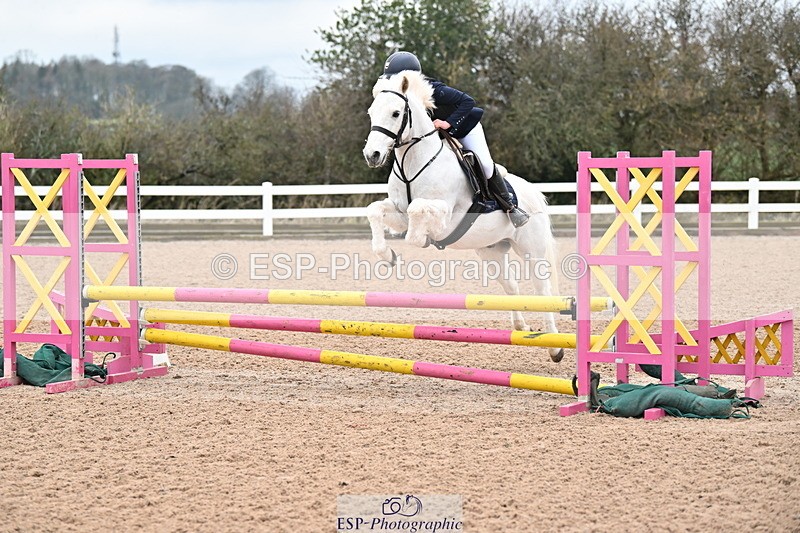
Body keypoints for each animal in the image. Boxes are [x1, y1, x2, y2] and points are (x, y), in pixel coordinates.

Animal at [362, 71, 565, 363]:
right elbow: (376, 210)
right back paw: (520, 326)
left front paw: (420, 239)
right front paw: (388, 256)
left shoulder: (445, 214)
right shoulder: (398, 211)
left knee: (542, 290)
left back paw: (555, 347)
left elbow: (417, 213)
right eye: (371, 112)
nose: (372, 155)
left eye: (396, 113)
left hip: (531, 249)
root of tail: (534, 193)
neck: (415, 161)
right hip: (492, 251)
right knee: (512, 287)